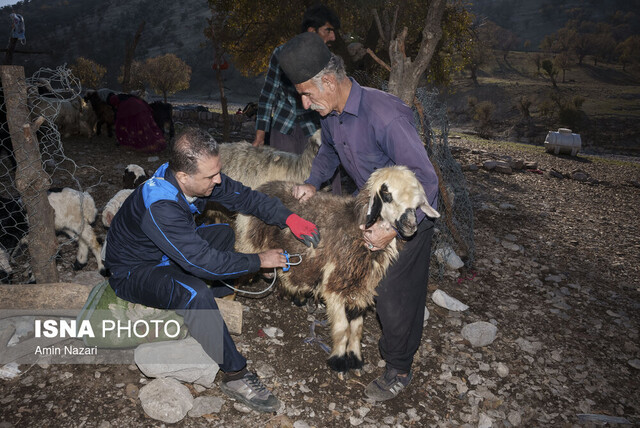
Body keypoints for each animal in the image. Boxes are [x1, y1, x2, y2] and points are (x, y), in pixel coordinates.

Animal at [235, 166, 440, 376]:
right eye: (387, 195)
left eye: (417, 204)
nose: (411, 226)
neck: (357, 231)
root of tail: (264, 186)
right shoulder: (335, 284)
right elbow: (342, 328)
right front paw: (339, 361)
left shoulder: (361, 286)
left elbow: (356, 328)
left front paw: (355, 359)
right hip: (248, 243)